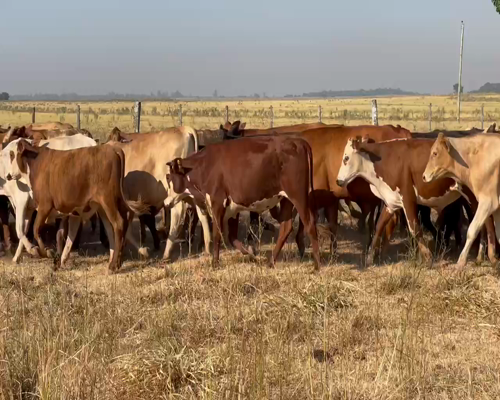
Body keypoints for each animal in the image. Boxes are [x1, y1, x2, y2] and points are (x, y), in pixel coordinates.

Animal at [6, 138, 146, 272]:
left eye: (12, 154)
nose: (8, 175)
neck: (37, 162)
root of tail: (111, 148)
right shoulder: (65, 212)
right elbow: (62, 235)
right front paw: (56, 260)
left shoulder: (44, 206)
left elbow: (36, 230)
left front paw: (44, 252)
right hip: (111, 203)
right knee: (117, 227)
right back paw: (117, 262)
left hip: (108, 201)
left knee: (118, 224)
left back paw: (113, 266)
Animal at [165, 136, 320, 270]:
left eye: (168, 178)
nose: (166, 203)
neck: (204, 166)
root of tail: (299, 141)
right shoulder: (233, 209)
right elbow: (232, 237)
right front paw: (251, 253)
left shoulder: (217, 204)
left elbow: (217, 235)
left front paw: (215, 263)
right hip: (286, 199)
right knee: (286, 227)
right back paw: (271, 262)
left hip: (298, 196)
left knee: (310, 224)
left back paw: (317, 266)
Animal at [424, 133, 500, 268]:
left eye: (435, 153)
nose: (424, 176)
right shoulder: (496, 208)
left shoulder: (488, 203)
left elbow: (472, 230)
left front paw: (461, 262)